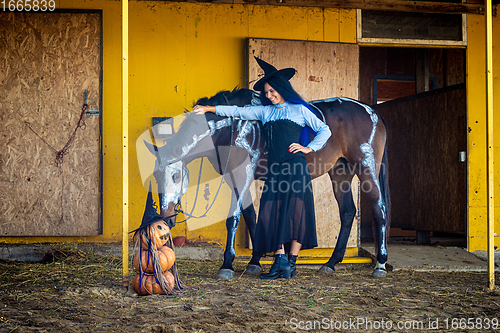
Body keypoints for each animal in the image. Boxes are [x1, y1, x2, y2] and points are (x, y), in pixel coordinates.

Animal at [144, 87, 390, 278]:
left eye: (176, 176)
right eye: (155, 176)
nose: (166, 219)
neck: (233, 126)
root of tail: (373, 111)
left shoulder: (242, 174)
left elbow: (234, 219)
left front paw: (227, 264)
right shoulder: (235, 178)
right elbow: (251, 217)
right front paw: (254, 261)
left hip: (366, 167)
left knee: (379, 209)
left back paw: (380, 264)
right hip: (341, 172)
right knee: (348, 212)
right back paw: (330, 263)